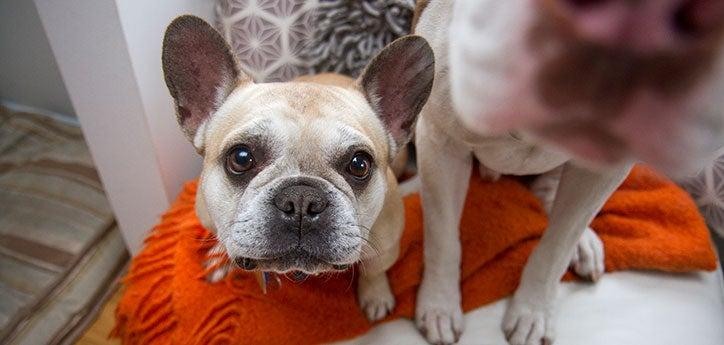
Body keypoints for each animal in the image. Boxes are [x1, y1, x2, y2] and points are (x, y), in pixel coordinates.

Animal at [412, 0, 724, 344]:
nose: (633, 21)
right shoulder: (440, 141)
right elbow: (442, 236)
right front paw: (439, 306)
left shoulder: (604, 171)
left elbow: (557, 246)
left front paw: (533, 312)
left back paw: (583, 242)